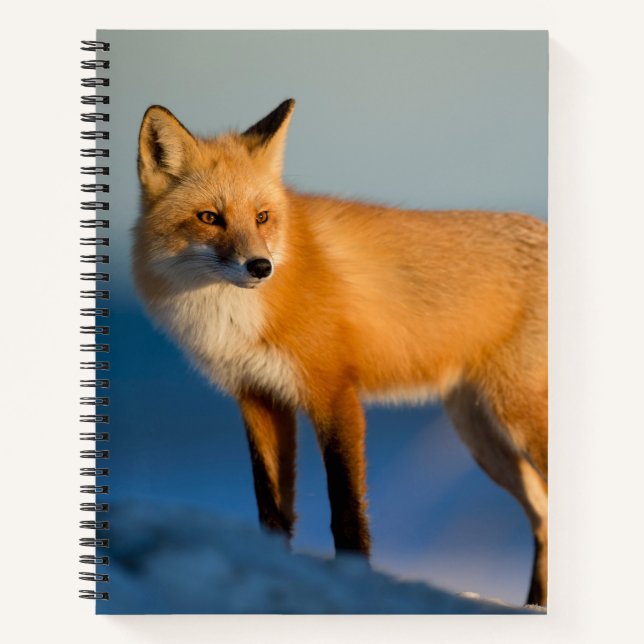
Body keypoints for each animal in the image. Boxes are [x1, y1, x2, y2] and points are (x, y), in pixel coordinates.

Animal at [132, 99, 548, 607]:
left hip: (515, 417)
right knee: (543, 515)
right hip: (482, 436)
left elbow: (346, 511)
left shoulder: (334, 393)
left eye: (262, 217)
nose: (260, 267)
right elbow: (272, 509)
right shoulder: (258, 397)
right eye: (210, 217)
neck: (234, 316)